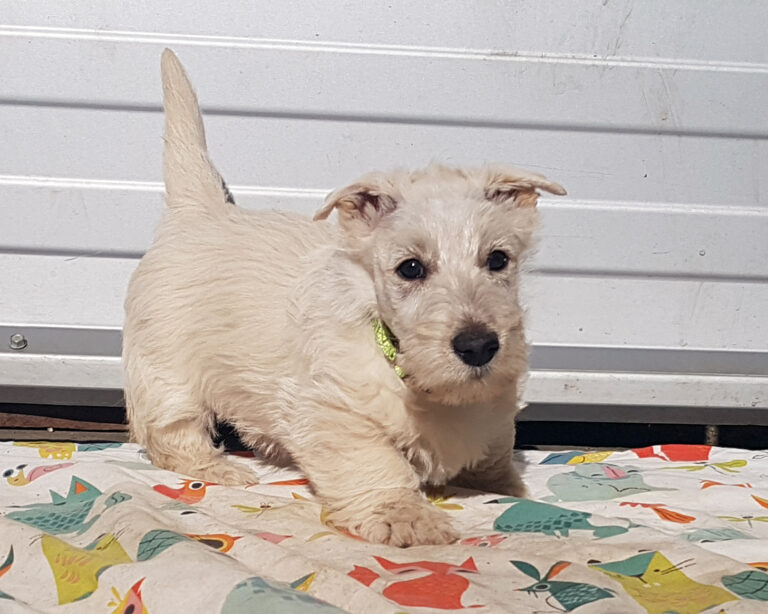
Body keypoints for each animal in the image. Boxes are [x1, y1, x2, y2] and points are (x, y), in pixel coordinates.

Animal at [123, 49, 568, 548]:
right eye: (410, 268)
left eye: (497, 260)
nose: (478, 347)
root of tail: (199, 212)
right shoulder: (335, 415)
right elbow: (376, 466)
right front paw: (406, 517)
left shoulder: (494, 413)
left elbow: (495, 454)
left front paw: (510, 487)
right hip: (166, 374)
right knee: (171, 435)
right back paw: (219, 467)